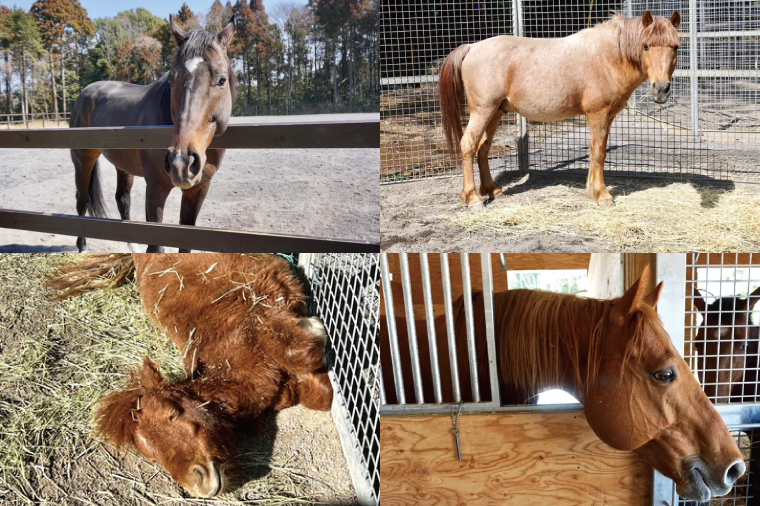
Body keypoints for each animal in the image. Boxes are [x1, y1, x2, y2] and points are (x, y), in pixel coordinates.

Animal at [47, 253, 333, 498]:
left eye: (173, 414)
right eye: (152, 457)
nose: (200, 484)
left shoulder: (260, 319)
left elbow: (304, 353)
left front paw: (315, 326)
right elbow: (321, 393)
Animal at [69, 15, 237, 253]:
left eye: (222, 80)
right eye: (171, 80)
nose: (181, 163)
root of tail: (85, 92)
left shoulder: (198, 189)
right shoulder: (156, 187)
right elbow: (156, 247)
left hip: (122, 166)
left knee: (122, 199)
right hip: (83, 160)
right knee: (82, 200)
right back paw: (82, 246)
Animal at [439, 11, 681, 208]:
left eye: (675, 47)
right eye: (646, 46)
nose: (661, 89)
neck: (609, 57)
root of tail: (472, 47)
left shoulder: (607, 117)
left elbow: (594, 151)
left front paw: (592, 191)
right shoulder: (598, 115)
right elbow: (599, 153)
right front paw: (602, 195)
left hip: (496, 112)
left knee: (483, 148)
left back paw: (492, 191)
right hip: (482, 111)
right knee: (468, 145)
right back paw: (472, 198)